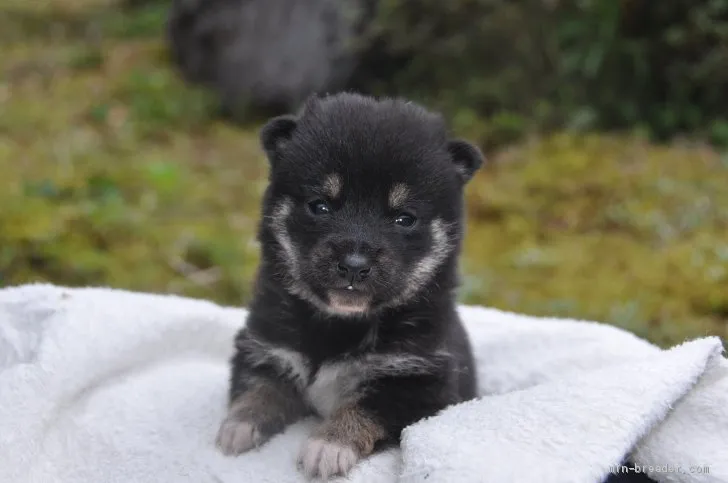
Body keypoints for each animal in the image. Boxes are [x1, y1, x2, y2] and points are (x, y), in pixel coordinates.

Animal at [216, 91, 484, 480]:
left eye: (405, 218)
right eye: (320, 206)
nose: (354, 266)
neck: (341, 323)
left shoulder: (419, 384)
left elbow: (365, 409)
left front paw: (329, 445)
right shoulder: (265, 347)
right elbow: (260, 386)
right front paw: (239, 424)